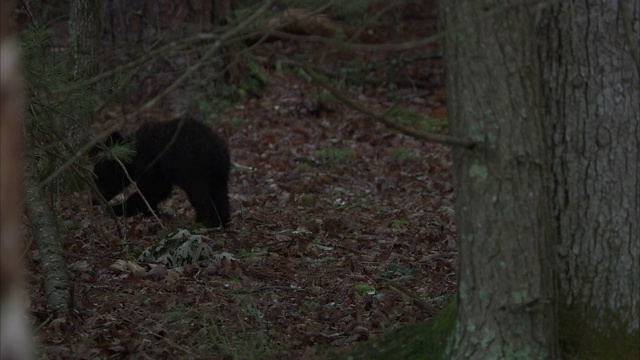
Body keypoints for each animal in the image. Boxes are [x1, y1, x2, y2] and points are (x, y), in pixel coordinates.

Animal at [90, 118, 230, 228]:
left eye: (99, 177)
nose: (94, 200)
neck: (132, 156)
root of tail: (215, 149)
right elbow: (157, 191)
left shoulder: (149, 163)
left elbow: (154, 188)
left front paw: (118, 208)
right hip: (220, 173)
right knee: (220, 195)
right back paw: (223, 221)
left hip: (195, 169)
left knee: (199, 195)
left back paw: (205, 222)